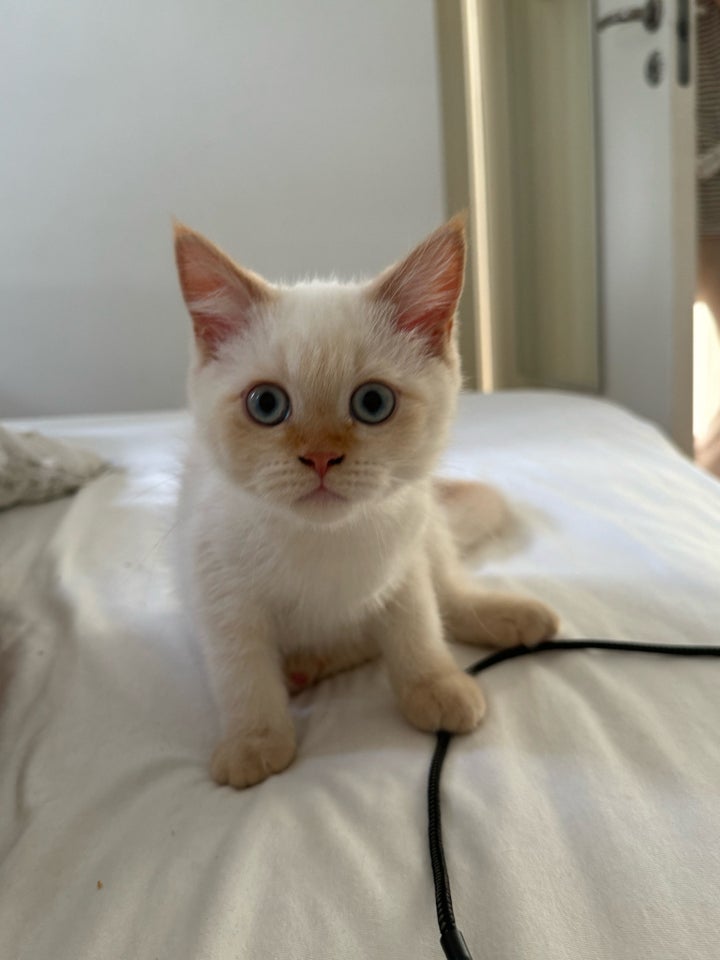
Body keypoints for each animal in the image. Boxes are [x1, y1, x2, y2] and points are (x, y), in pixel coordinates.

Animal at [173, 216, 556, 788]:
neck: (325, 541)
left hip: (428, 528)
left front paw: (432, 683)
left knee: (447, 594)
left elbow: (417, 624)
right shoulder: (218, 586)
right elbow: (242, 670)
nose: (320, 457)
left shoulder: (404, 563)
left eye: (373, 403)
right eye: (266, 404)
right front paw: (254, 740)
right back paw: (305, 666)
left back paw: (506, 617)